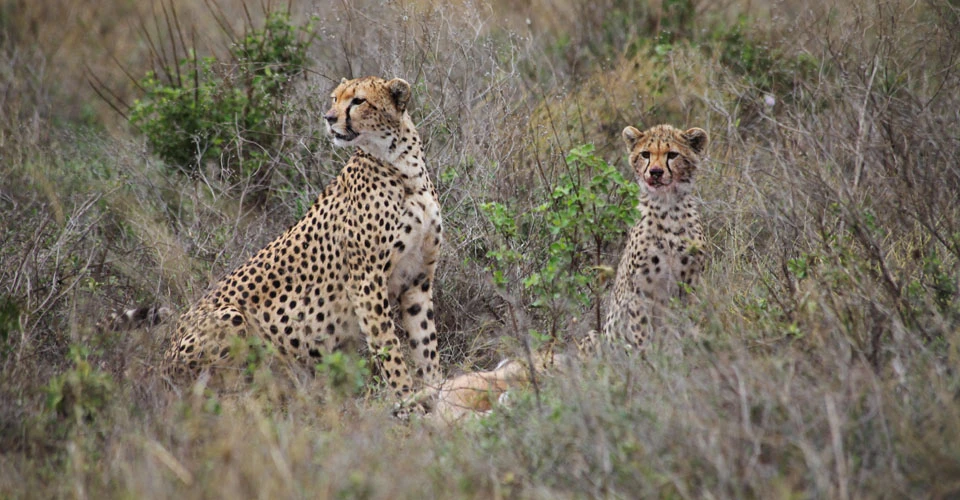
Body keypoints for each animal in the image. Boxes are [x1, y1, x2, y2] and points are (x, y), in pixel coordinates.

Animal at [159, 76, 443, 399]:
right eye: (334, 98)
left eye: (358, 101)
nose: (329, 118)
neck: (404, 166)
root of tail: (162, 366)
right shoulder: (366, 282)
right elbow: (389, 350)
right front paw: (407, 398)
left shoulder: (418, 278)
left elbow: (425, 345)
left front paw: (435, 392)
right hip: (230, 316)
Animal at [581, 123, 709, 353]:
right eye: (645, 154)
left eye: (672, 154)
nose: (655, 172)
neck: (667, 207)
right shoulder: (640, 290)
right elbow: (641, 330)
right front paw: (648, 357)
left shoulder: (690, 283)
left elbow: (689, 324)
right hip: (594, 337)